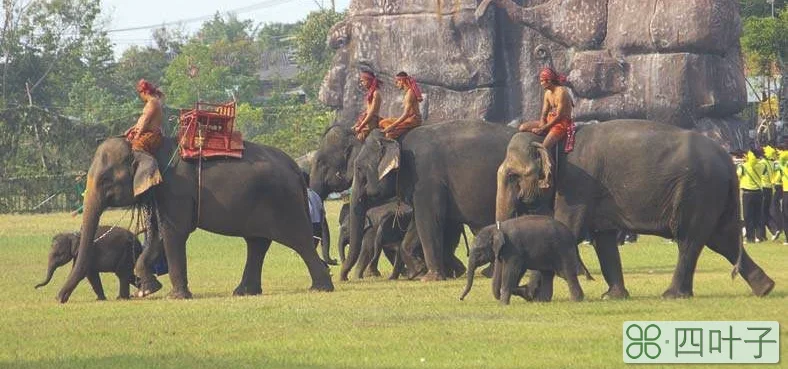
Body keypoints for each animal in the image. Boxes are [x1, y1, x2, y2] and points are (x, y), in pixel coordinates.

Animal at [54, 136, 332, 302]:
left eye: (105, 180)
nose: (59, 299)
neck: (146, 147)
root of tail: (297, 169)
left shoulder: (174, 189)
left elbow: (173, 232)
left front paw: (176, 296)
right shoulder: (161, 193)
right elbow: (157, 233)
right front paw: (149, 289)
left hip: (284, 202)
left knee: (299, 240)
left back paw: (321, 288)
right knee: (256, 243)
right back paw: (244, 292)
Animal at [344, 119, 516, 280]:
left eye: (359, 168)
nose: (344, 277)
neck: (396, 138)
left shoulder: (425, 180)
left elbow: (427, 220)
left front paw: (430, 278)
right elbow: (416, 223)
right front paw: (418, 271)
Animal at [496, 118, 772, 300]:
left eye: (512, 176)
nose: (517, 291)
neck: (554, 138)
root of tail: (729, 161)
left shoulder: (577, 184)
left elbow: (566, 229)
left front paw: (534, 295)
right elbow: (603, 238)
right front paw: (613, 297)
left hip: (699, 191)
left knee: (690, 240)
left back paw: (672, 295)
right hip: (712, 195)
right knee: (722, 239)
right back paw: (765, 288)